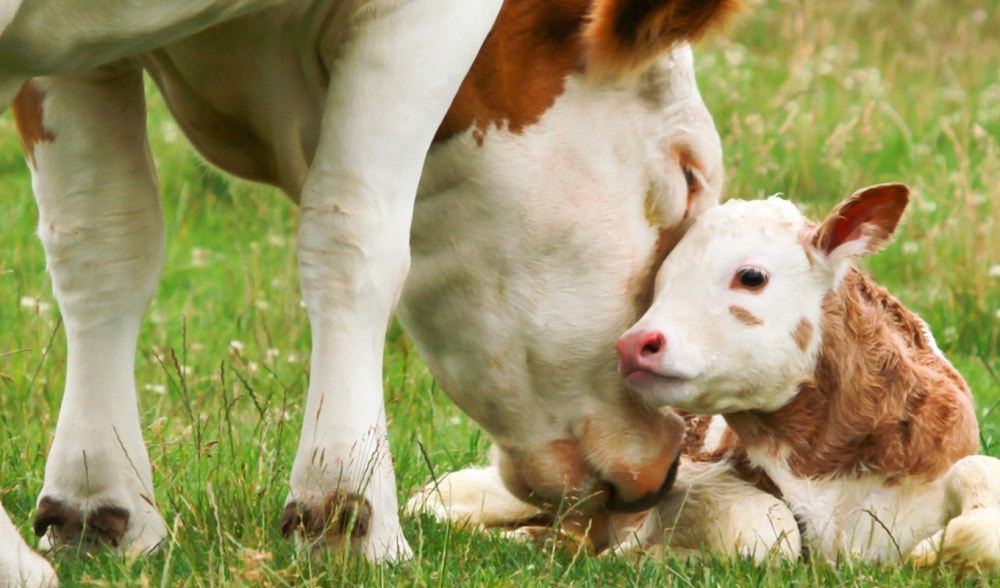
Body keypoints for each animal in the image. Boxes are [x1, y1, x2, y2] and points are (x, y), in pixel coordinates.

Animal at [0, 0, 744, 568]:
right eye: (687, 176)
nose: (669, 462)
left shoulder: (77, 68)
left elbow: (105, 239)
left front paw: (97, 505)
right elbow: (355, 234)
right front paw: (346, 512)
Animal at [616, 185, 1000, 568]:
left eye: (751, 277)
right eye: (659, 281)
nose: (633, 343)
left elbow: (980, 484)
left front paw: (931, 555)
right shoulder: (690, 473)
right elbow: (768, 529)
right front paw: (653, 553)